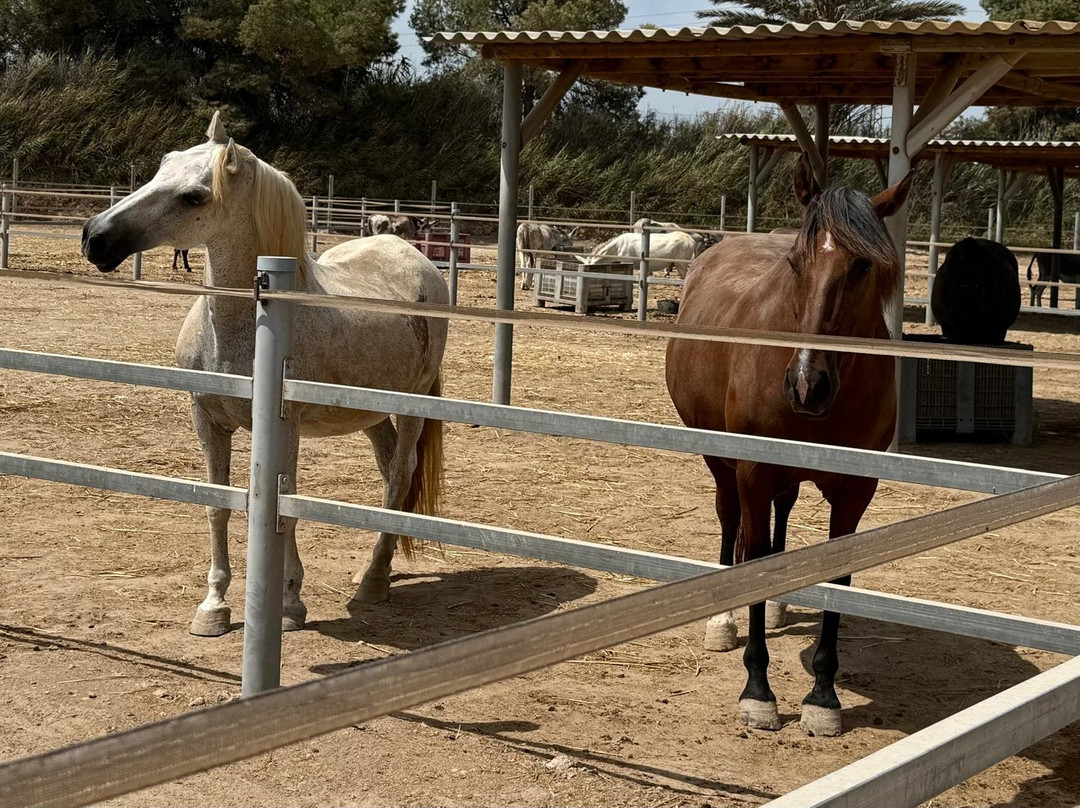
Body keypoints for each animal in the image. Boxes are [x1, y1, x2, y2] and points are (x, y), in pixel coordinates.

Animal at [81, 112, 449, 636]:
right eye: (161, 166)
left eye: (194, 196)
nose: (95, 237)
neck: (249, 326)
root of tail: (415, 257)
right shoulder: (208, 422)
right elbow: (218, 507)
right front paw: (213, 606)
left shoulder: (283, 427)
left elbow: (285, 509)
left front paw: (289, 603)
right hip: (371, 414)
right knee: (388, 475)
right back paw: (382, 564)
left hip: (412, 405)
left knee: (401, 475)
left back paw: (374, 580)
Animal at [665, 154, 910, 737]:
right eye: (798, 263)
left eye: (862, 267)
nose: (806, 385)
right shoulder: (754, 470)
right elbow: (752, 552)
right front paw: (758, 691)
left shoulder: (855, 488)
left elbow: (836, 575)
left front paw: (823, 697)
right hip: (721, 462)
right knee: (730, 518)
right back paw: (723, 619)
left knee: (784, 510)